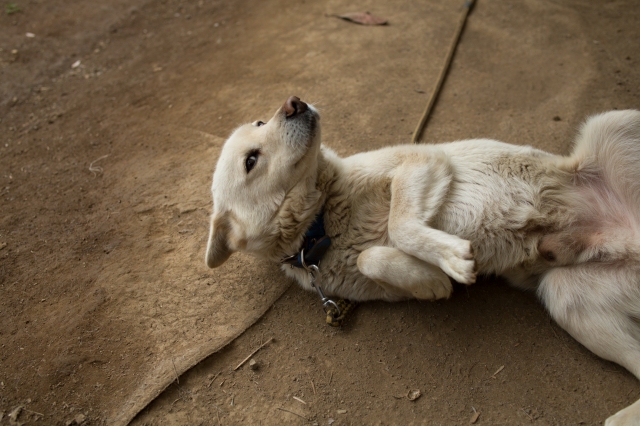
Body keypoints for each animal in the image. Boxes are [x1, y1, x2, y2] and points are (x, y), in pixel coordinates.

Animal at [208, 97, 640, 426]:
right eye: (251, 161)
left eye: (260, 121)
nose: (293, 102)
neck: (322, 224)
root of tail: (628, 238)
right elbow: (372, 257)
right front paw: (431, 280)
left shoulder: (421, 160)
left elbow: (397, 227)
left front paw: (451, 258)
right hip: (567, 296)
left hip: (612, 122)